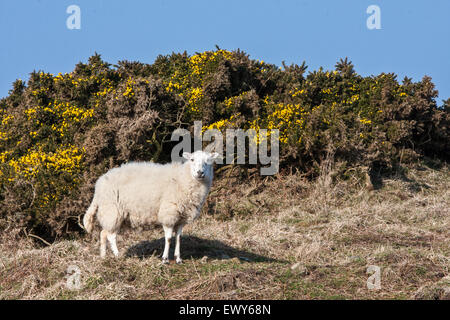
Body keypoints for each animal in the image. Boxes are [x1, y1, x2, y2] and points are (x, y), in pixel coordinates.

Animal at [84, 151, 220, 264]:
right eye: (192, 159)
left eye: (208, 160)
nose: (200, 173)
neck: (183, 179)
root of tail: (99, 185)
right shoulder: (168, 214)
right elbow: (169, 238)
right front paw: (165, 259)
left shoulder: (181, 218)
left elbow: (178, 238)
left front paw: (178, 258)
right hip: (113, 210)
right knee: (111, 236)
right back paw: (118, 255)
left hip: (110, 213)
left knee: (103, 233)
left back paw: (103, 256)